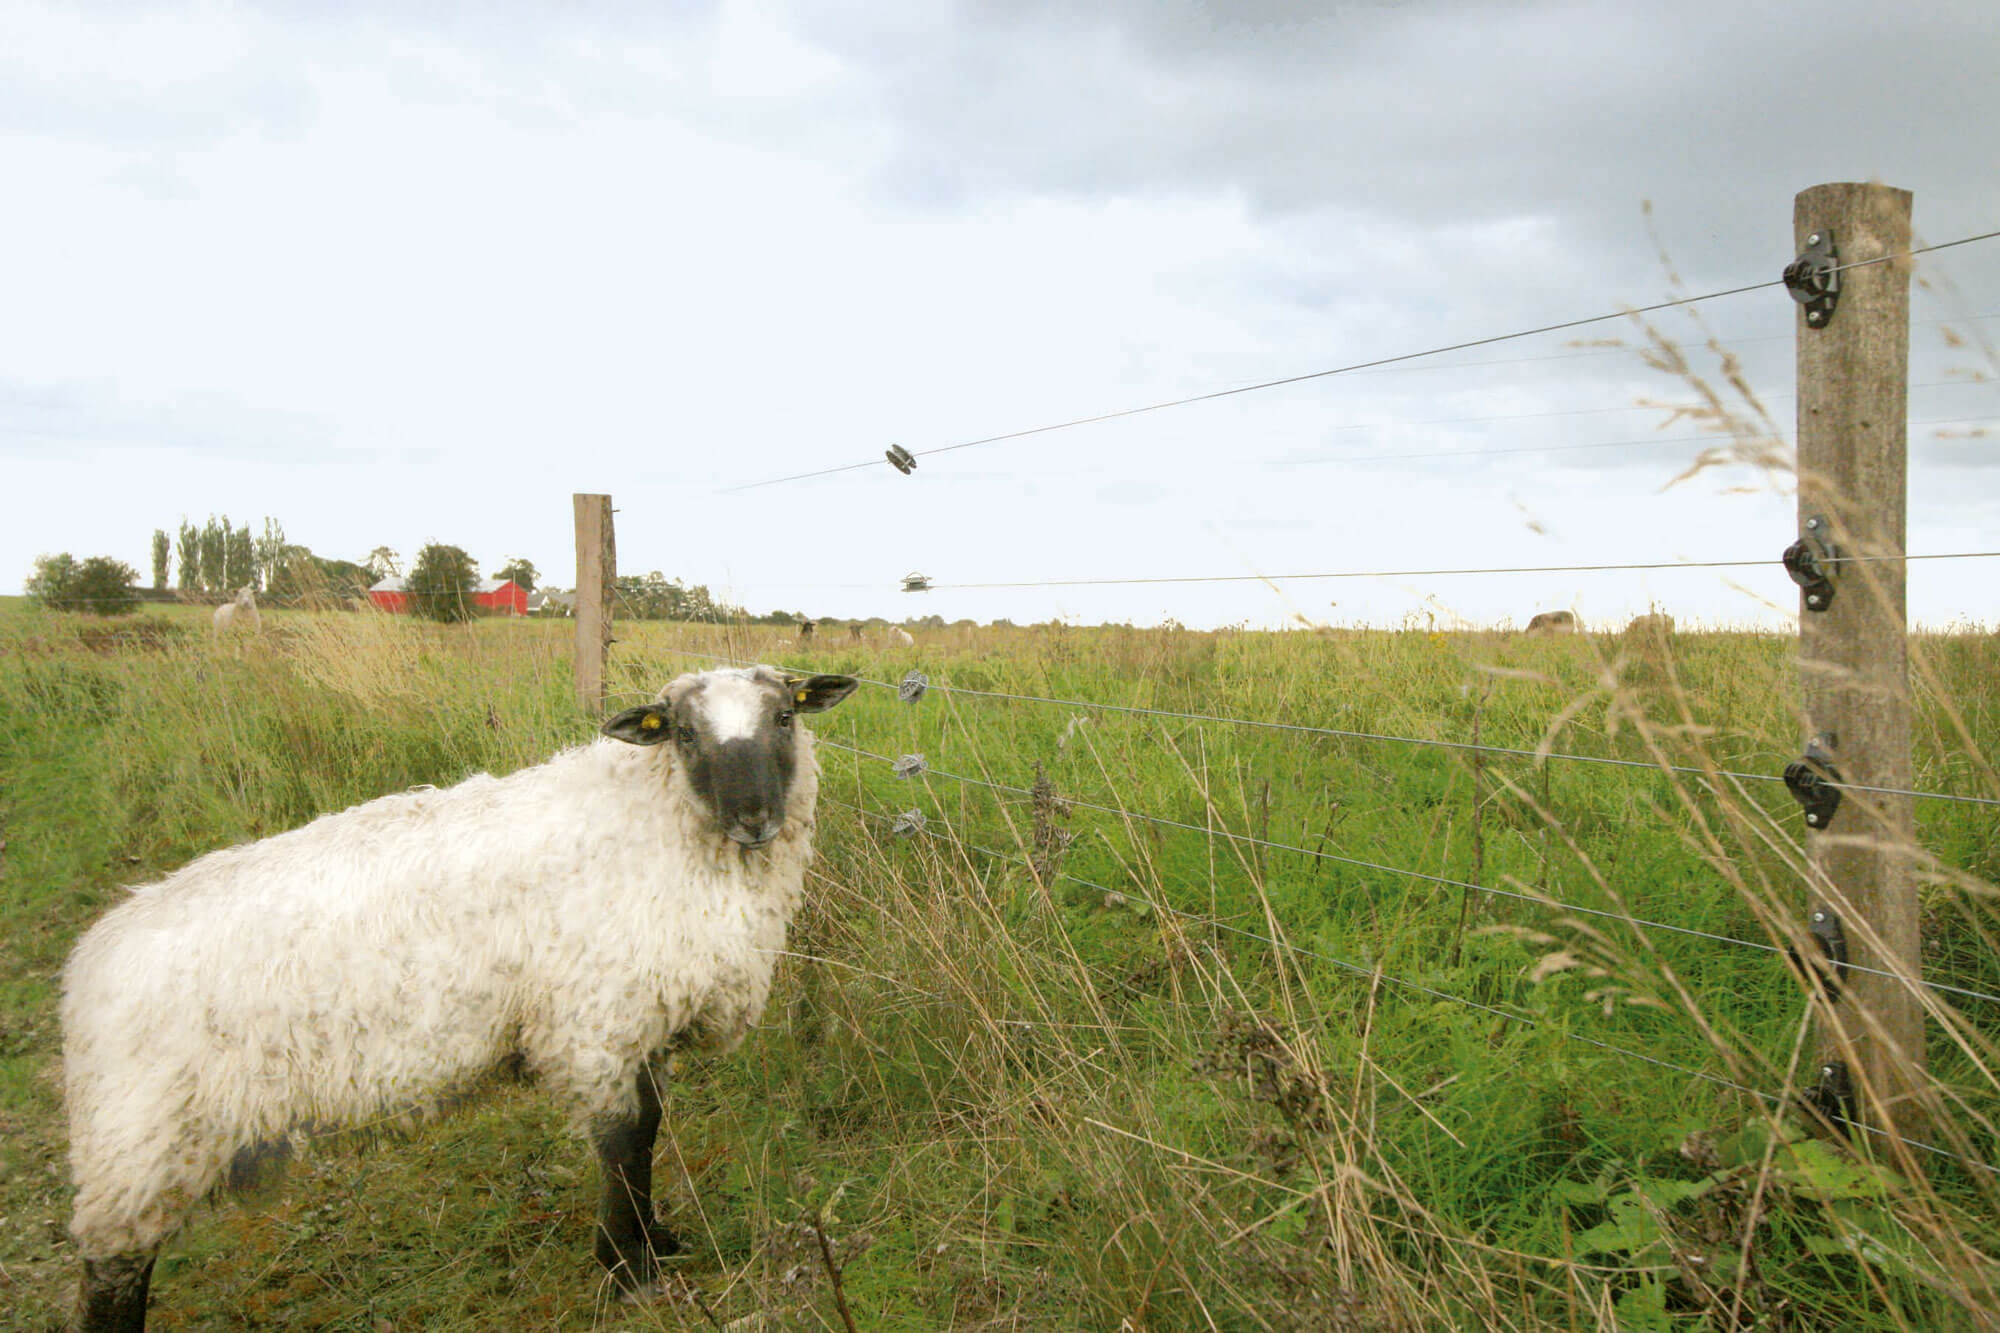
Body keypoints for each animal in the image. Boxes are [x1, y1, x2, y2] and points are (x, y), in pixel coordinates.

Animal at [60, 660, 860, 1320]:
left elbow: (650, 1131)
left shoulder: (645, 1021)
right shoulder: (592, 1023)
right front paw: (629, 1271)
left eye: (784, 718)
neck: (657, 827)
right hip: (140, 1143)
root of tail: (86, 969)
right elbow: (622, 1143)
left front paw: (655, 1239)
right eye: (686, 733)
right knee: (111, 1275)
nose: (754, 816)